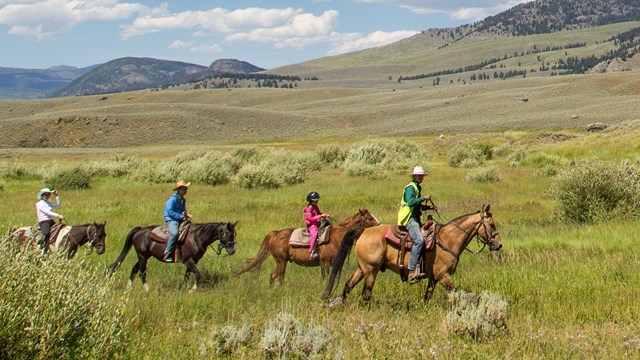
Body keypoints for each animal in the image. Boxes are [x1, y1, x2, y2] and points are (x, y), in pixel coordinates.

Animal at [107, 221, 238, 292]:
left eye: (235, 234)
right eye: (228, 234)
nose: (233, 250)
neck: (196, 237)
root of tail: (140, 230)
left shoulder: (194, 260)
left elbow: (187, 275)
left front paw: (183, 288)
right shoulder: (187, 260)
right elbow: (197, 274)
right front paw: (192, 289)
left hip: (145, 256)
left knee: (134, 269)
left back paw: (128, 288)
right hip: (142, 256)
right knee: (142, 272)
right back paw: (147, 289)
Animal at [236, 210, 380, 286]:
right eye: (369, 217)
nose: (379, 224)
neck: (336, 237)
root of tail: (275, 234)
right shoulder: (325, 262)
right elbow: (325, 276)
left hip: (279, 261)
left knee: (273, 275)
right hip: (281, 261)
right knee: (280, 276)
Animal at [324, 205, 500, 304]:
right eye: (491, 224)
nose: (499, 245)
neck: (448, 240)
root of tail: (363, 231)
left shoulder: (434, 278)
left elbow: (427, 296)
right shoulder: (444, 276)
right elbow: (456, 293)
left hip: (362, 268)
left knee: (348, 285)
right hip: (371, 270)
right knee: (366, 293)